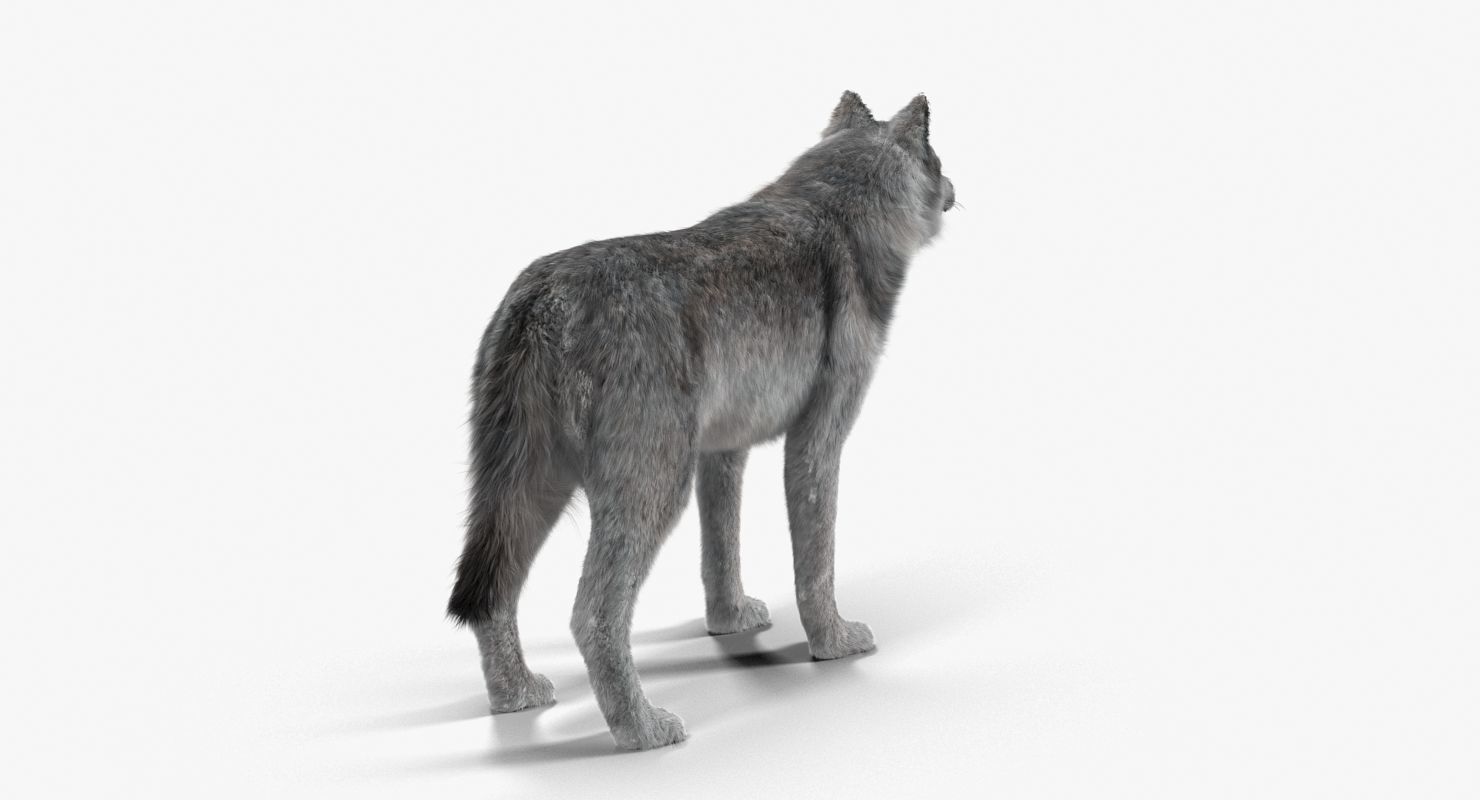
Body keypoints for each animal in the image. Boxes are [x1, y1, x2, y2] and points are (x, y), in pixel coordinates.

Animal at [447, 91, 954, 750]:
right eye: (940, 158)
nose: (957, 187)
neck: (835, 206)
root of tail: (544, 297)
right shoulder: (817, 441)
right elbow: (816, 560)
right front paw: (833, 642)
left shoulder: (722, 453)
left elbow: (721, 549)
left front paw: (730, 622)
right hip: (652, 490)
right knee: (592, 614)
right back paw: (642, 730)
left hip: (527, 491)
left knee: (492, 597)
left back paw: (516, 698)